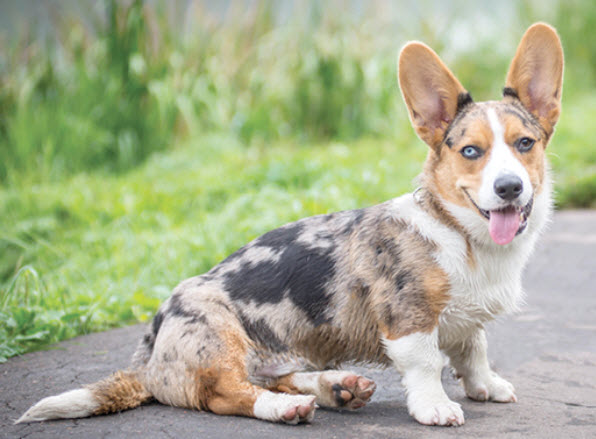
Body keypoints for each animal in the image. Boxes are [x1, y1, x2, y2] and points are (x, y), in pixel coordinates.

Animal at [15, 22, 564, 428]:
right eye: (471, 151)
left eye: (525, 144)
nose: (509, 188)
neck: (463, 235)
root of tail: (149, 358)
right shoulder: (409, 318)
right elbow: (428, 363)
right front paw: (436, 407)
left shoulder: (465, 321)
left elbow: (474, 350)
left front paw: (486, 387)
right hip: (219, 338)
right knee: (228, 394)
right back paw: (288, 407)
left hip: (277, 355)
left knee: (271, 377)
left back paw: (335, 387)